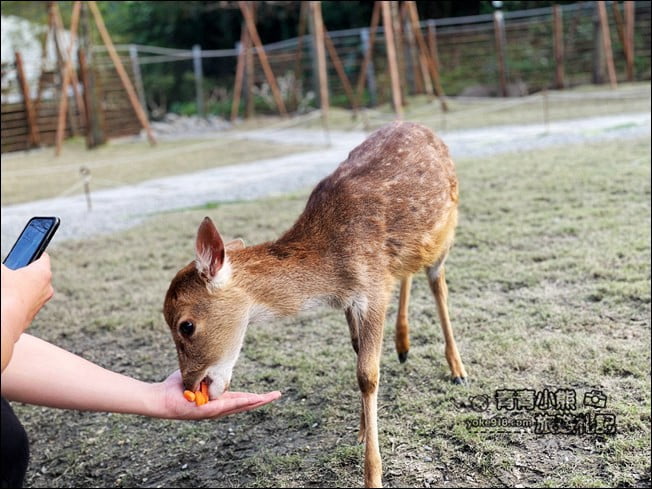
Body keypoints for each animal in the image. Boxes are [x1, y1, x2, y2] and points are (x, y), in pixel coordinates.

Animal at [163, 121, 467, 488]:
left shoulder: (372, 287)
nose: (188, 384)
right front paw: (361, 431)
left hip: (446, 230)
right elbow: (357, 354)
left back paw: (457, 370)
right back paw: (403, 345)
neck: (332, 267)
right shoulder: (354, 299)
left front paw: (372, 476)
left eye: (186, 325)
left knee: (438, 285)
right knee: (408, 273)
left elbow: (367, 373)